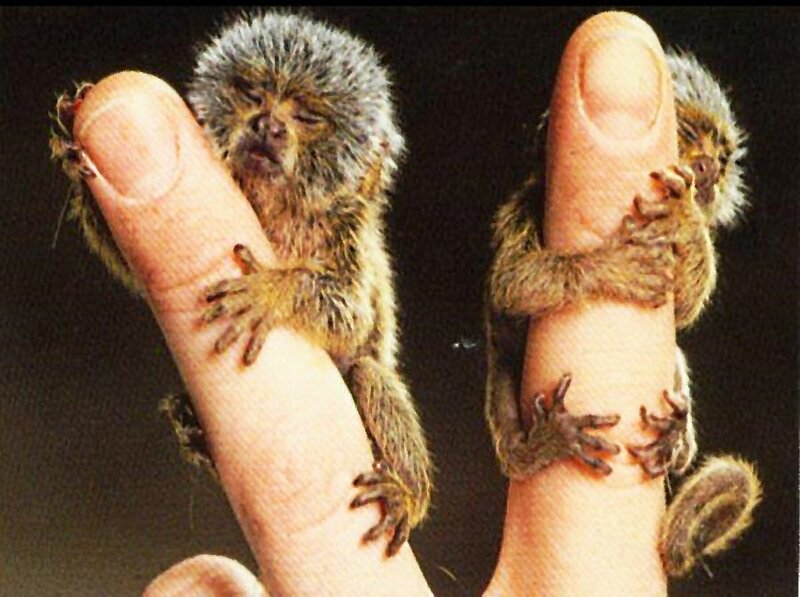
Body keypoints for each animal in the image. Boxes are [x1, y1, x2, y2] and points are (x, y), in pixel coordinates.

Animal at [50, 11, 432, 558]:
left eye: (307, 117)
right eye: (253, 94)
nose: (268, 126)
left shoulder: (345, 234)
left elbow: (351, 319)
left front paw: (270, 292)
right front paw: (74, 153)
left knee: (367, 373)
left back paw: (409, 493)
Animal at [484, 49, 760, 578]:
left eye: (721, 159)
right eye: (686, 134)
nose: (709, 170)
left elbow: (685, 308)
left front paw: (686, 218)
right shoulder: (526, 207)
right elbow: (512, 286)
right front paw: (611, 267)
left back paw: (676, 439)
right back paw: (536, 446)